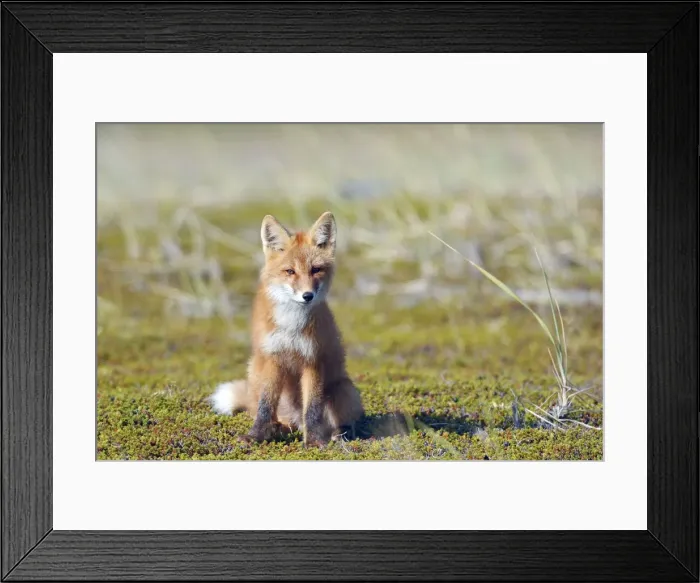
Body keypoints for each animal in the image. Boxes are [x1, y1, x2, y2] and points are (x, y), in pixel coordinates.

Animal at [208, 211, 364, 447]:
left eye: (316, 270)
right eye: (290, 271)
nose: (307, 295)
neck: (292, 326)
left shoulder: (313, 359)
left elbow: (312, 409)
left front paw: (314, 442)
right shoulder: (273, 357)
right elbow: (265, 407)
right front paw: (256, 435)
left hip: (344, 390)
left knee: (340, 421)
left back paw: (337, 434)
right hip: (255, 369)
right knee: (272, 415)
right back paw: (278, 429)